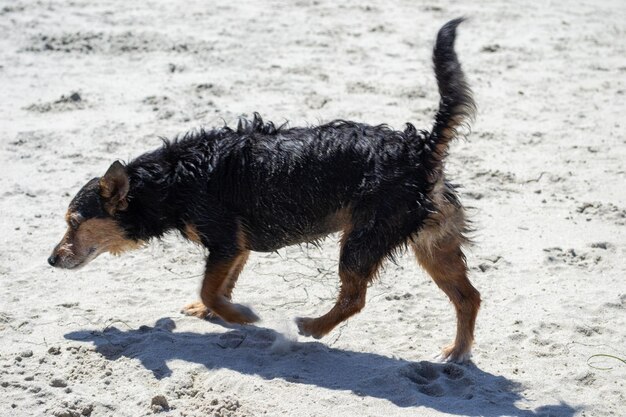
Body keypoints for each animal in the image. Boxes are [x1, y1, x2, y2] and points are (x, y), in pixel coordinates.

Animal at [50, 18, 478, 360]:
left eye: (74, 222)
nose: (51, 260)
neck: (173, 180)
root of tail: (421, 149)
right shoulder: (235, 247)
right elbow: (219, 285)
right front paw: (215, 311)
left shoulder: (224, 241)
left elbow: (210, 287)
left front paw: (240, 315)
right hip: (433, 243)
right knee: (468, 297)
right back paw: (457, 353)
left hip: (363, 239)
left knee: (355, 297)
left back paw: (313, 327)